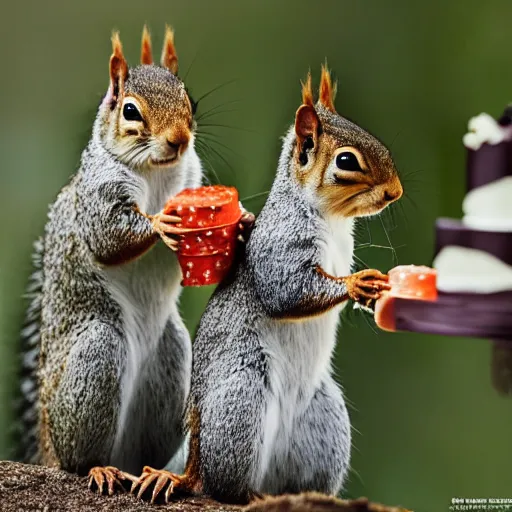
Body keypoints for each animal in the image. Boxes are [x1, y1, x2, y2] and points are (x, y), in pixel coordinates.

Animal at [17, 25, 253, 492]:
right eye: (130, 111)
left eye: (189, 99)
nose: (180, 139)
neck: (158, 173)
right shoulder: (99, 195)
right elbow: (108, 237)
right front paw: (161, 222)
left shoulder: (191, 177)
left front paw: (243, 223)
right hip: (96, 356)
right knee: (78, 458)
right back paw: (97, 468)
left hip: (173, 364)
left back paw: (152, 475)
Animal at [129, 65, 404, 504]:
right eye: (347, 160)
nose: (396, 191)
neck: (333, 220)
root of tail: (192, 461)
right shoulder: (280, 245)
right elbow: (286, 292)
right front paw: (356, 285)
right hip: (242, 399)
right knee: (222, 486)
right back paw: (243, 493)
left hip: (325, 420)